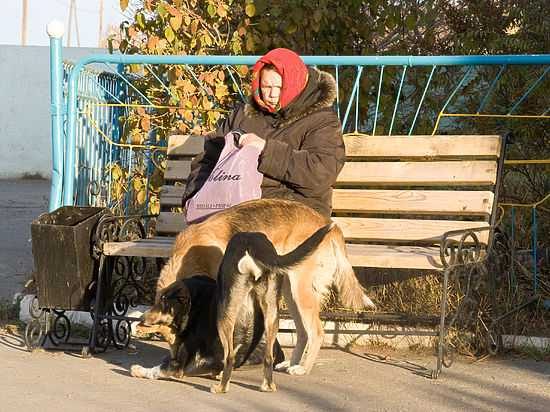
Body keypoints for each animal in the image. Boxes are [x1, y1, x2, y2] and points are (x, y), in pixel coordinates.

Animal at [129, 276, 284, 382]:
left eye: (163, 300)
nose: (141, 317)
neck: (194, 313)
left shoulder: (181, 366)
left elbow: (158, 369)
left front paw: (139, 370)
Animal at [150, 200, 376, 376]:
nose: (174, 363)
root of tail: (330, 225)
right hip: (290, 292)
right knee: (303, 332)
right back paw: (290, 363)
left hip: (300, 291)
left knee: (316, 332)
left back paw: (303, 368)